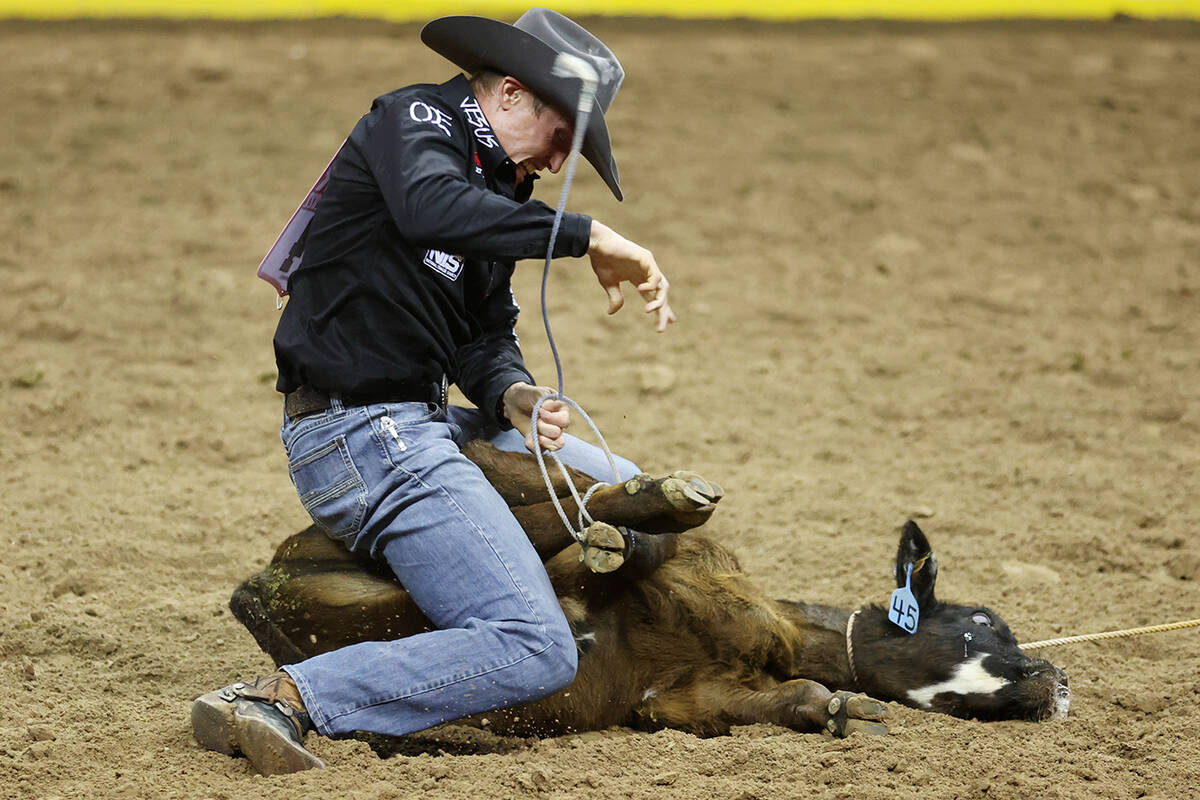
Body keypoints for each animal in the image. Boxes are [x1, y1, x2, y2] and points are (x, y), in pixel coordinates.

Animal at [226, 443, 1070, 738]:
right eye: (985, 621)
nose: (1056, 681)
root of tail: (260, 596)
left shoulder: (678, 698)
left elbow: (788, 699)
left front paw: (842, 709)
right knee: (554, 488)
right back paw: (653, 504)